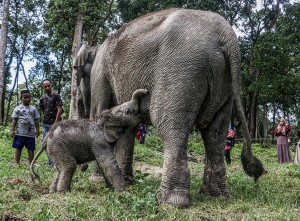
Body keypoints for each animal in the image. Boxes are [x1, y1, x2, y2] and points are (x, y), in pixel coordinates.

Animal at [90, 8, 264, 207]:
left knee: (169, 124)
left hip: (181, 70)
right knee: (216, 132)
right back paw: (215, 195)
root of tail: (227, 36)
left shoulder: (99, 73)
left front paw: (98, 181)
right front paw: (125, 183)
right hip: (223, 83)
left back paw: (170, 202)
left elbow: (100, 112)